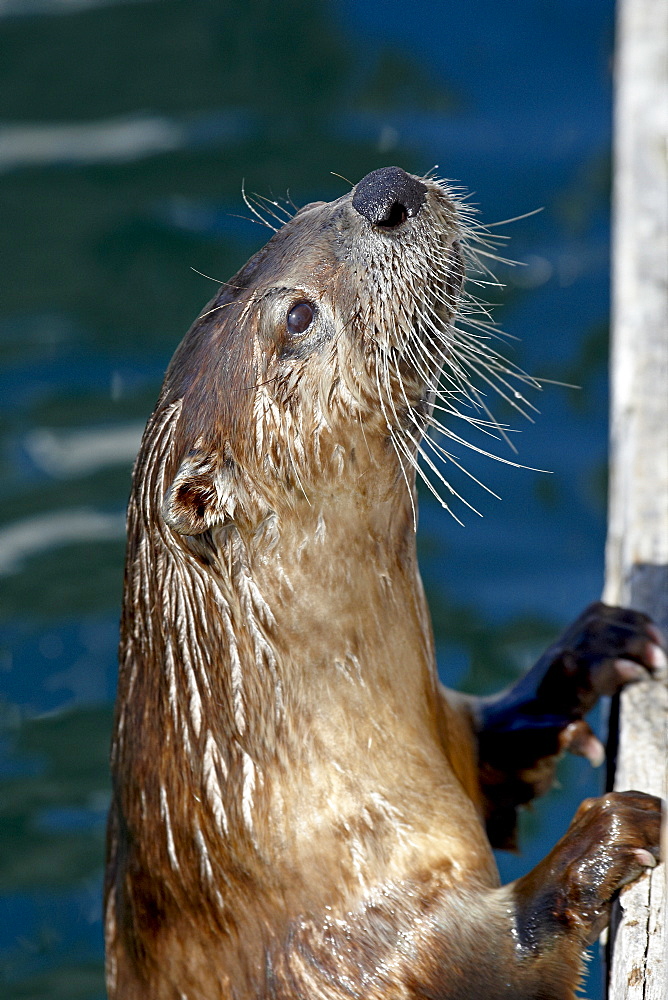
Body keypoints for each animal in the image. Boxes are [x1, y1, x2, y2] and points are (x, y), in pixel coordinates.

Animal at [104, 168, 664, 996]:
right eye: (297, 317)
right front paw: (599, 841)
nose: (384, 189)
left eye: (309, 207)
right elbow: (483, 960)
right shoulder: (340, 948)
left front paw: (591, 650)